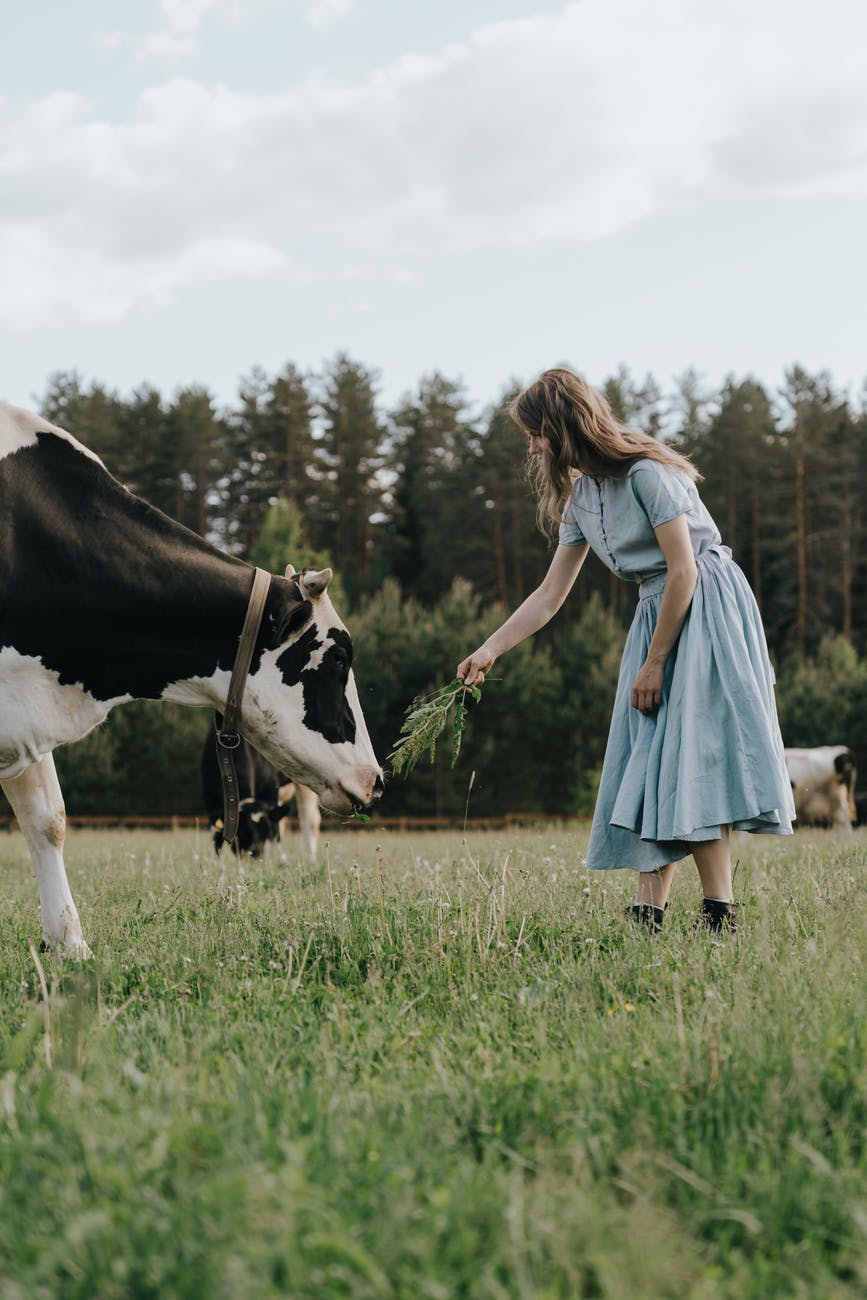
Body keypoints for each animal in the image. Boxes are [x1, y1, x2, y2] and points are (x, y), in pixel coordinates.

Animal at [201, 722, 321, 863]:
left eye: (265, 831)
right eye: (243, 831)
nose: (256, 854)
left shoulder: (271, 789)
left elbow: (275, 829)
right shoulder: (211, 799)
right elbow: (216, 837)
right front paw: (217, 864)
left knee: (309, 820)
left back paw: (309, 859)